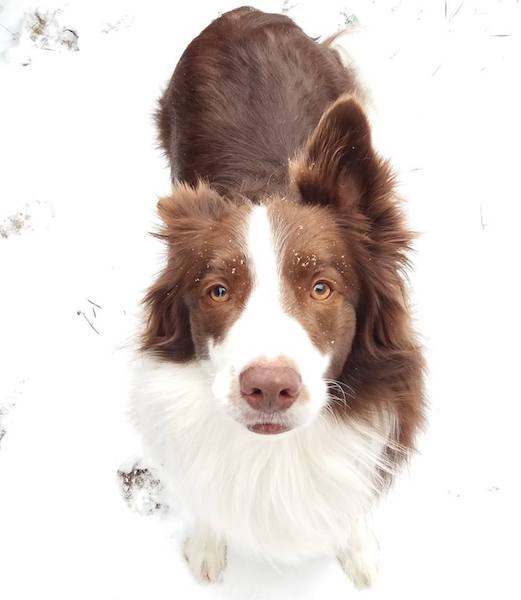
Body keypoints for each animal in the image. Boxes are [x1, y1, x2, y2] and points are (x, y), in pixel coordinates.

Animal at [130, 5, 422, 592]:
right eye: (218, 290)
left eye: (321, 287)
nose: (268, 388)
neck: (274, 453)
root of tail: (249, 12)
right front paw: (207, 544)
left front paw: (357, 550)